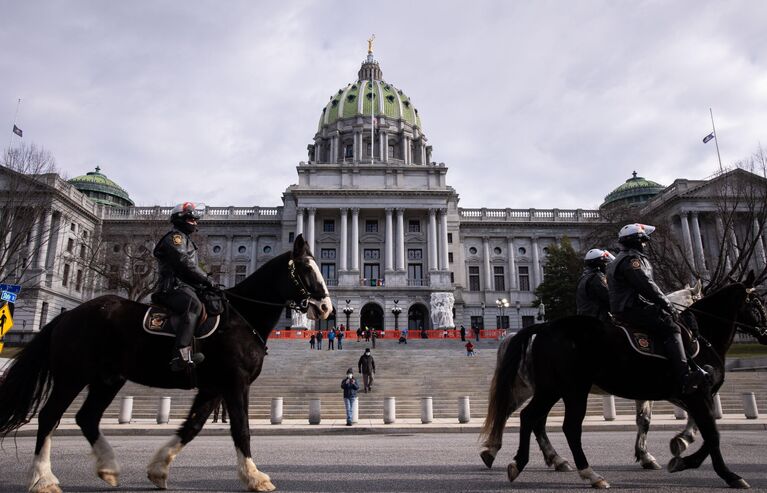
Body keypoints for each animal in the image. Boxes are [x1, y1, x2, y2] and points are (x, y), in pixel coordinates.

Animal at [0, 235, 328, 492]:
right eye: (306, 269)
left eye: (320, 266)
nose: (327, 307)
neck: (242, 315)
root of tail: (66, 314)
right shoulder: (235, 381)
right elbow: (241, 428)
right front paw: (255, 477)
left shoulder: (212, 386)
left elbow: (191, 426)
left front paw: (158, 470)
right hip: (72, 375)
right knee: (49, 417)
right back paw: (43, 479)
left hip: (108, 378)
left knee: (86, 417)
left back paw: (108, 468)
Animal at [484, 276, 764, 488]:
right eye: (757, 302)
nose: (764, 332)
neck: (699, 335)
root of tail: (541, 328)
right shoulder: (693, 391)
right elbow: (709, 431)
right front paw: (709, 465)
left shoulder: (670, 392)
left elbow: (652, 421)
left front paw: (661, 451)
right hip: (566, 389)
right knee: (553, 423)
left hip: (550, 389)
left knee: (530, 418)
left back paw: (536, 460)